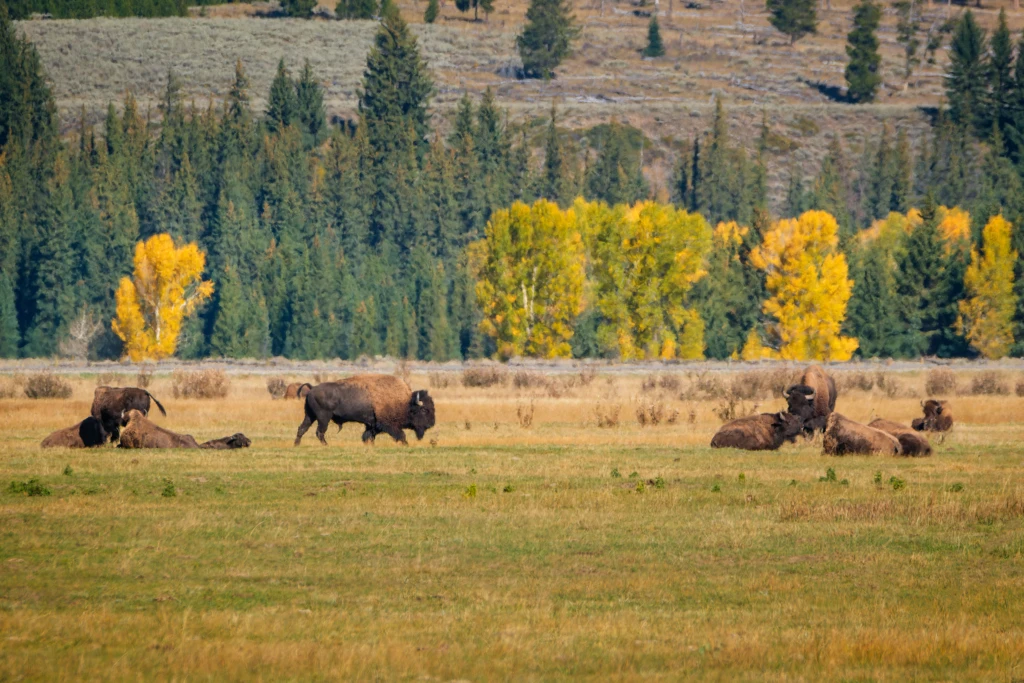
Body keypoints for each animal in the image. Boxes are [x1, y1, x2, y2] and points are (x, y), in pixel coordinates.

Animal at [295, 374, 436, 446]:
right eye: (424, 410)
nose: (431, 424)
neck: (405, 402)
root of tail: (312, 388)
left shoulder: (372, 424)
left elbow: (367, 436)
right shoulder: (387, 424)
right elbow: (401, 435)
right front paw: (406, 444)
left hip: (310, 415)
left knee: (302, 428)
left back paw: (297, 444)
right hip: (323, 417)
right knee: (320, 432)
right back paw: (326, 445)